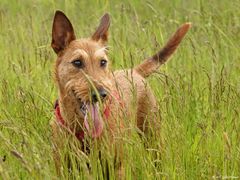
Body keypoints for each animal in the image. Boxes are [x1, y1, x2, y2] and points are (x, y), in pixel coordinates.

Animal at [50, 10, 191, 176]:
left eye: (103, 62)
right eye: (77, 62)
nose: (101, 94)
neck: (81, 129)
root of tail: (134, 71)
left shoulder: (115, 167)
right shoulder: (63, 168)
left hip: (152, 137)